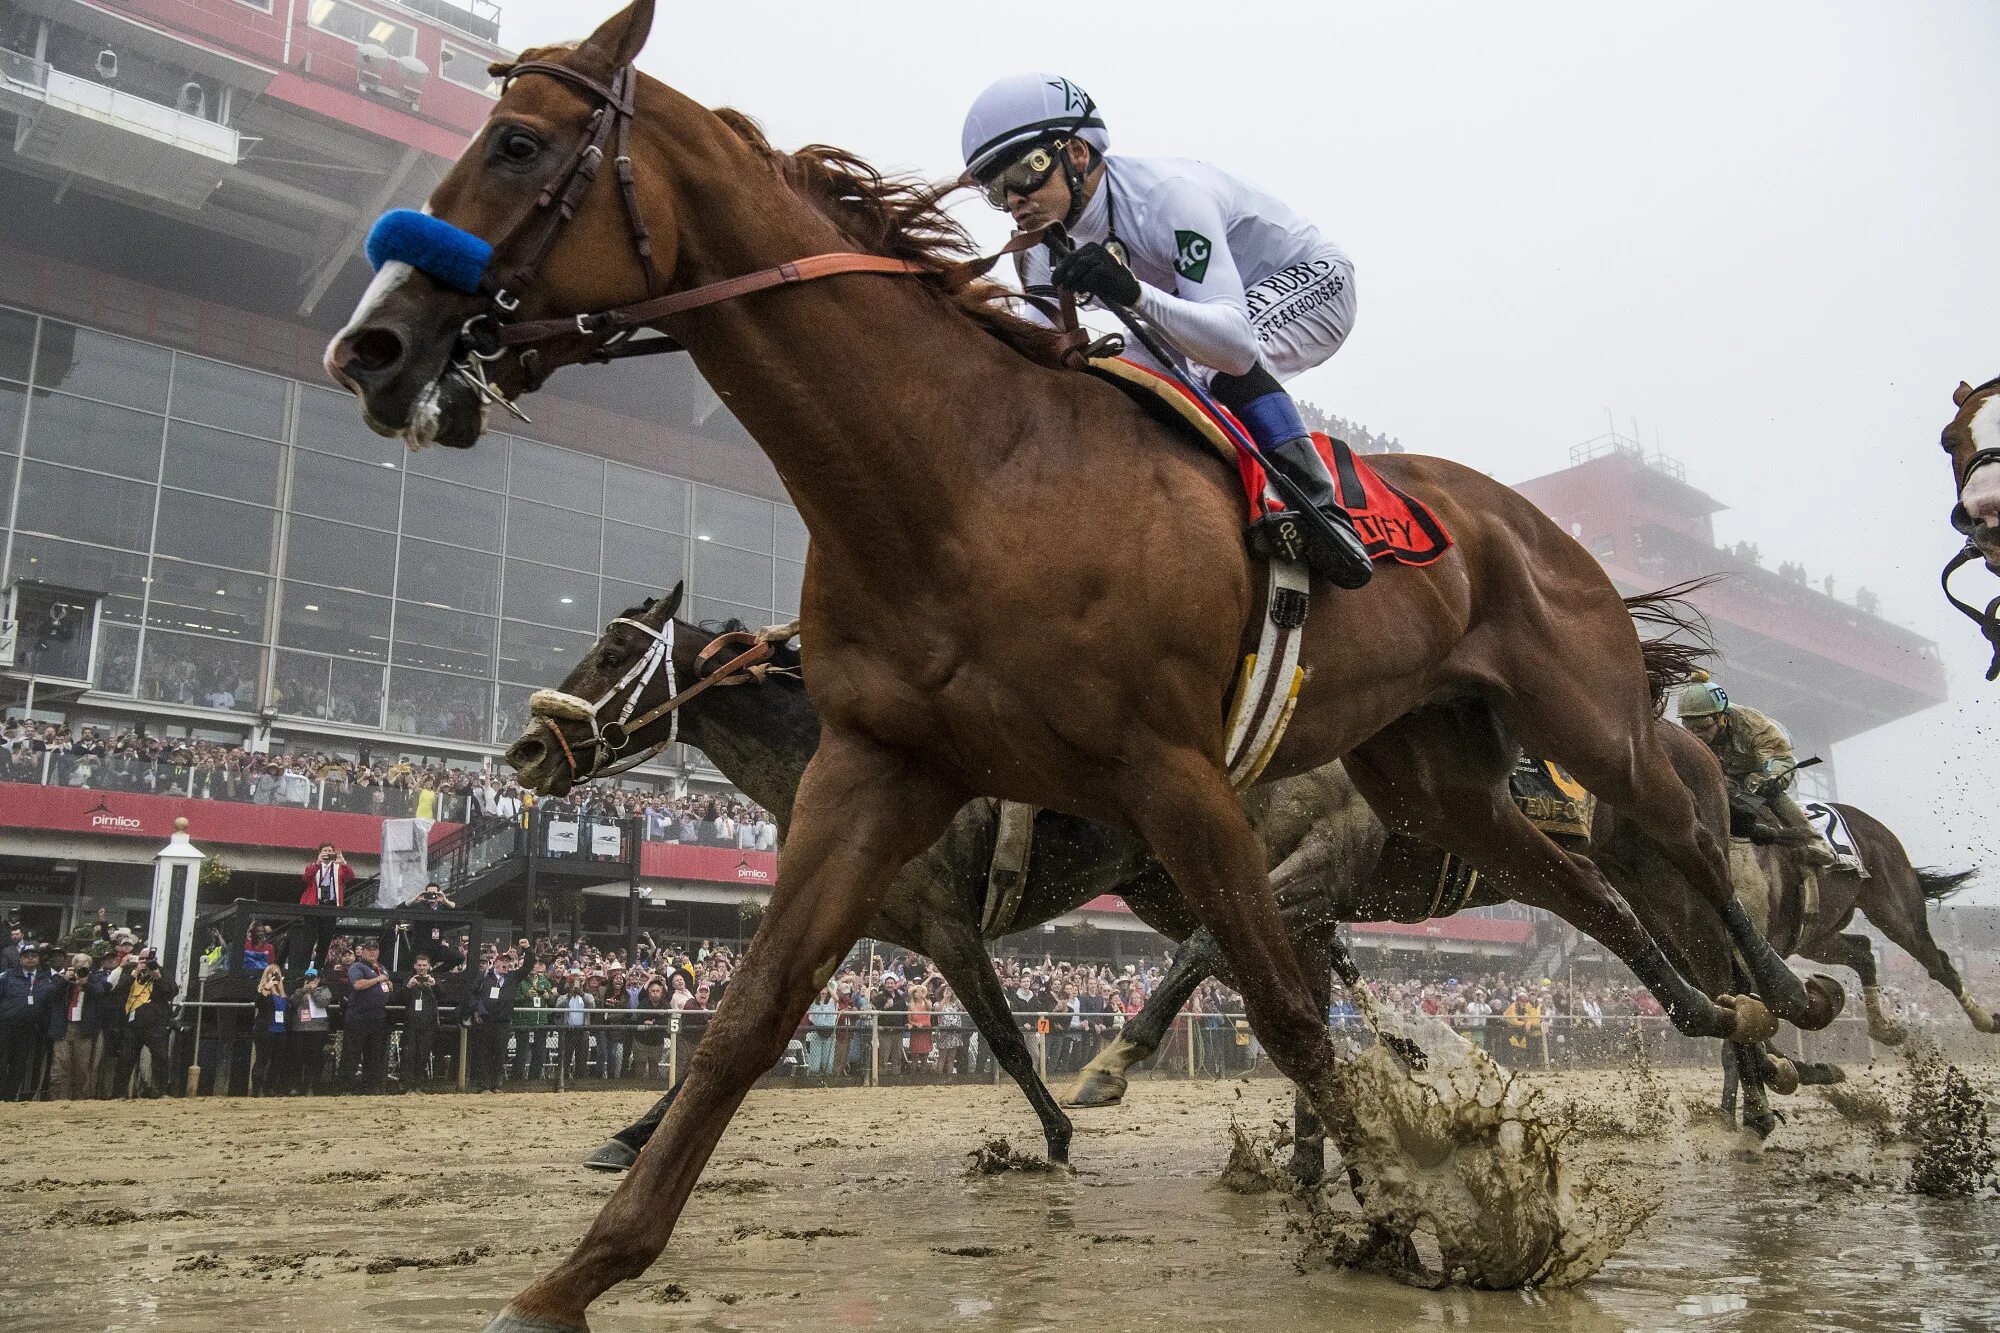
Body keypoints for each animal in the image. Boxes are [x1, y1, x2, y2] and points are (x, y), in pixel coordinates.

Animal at [328, 0, 1832, 1304]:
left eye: (519, 145)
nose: (372, 344)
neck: (966, 478)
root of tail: (1536, 521)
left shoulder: (1174, 777)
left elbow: (1282, 1014)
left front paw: (1418, 1212)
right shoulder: (884, 770)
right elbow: (751, 1015)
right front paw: (576, 1275)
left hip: (1584, 716)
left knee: (1686, 840)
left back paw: (1789, 1004)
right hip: (1434, 773)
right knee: (1579, 885)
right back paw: (1717, 1017)